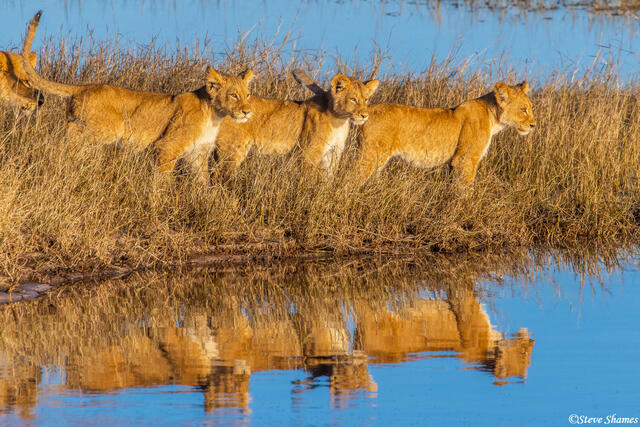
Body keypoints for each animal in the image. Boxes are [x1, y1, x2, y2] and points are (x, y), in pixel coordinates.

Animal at [21, 11, 253, 178]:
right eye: (234, 95)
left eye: (248, 95)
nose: (247, 112)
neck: (215, 115)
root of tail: (83, 87)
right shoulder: (166, 147)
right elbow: (162, 179)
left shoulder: (198, 155)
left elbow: (203, 183)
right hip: (110, 128)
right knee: (73, 137)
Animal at [214, 69, 378, 178]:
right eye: (353, 99)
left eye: (366, 99)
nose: (365, 115)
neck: (339, 120)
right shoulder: (308, 153)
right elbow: (307, 179)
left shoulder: (332, 154)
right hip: (233, 149)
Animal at [355, 81, 536, 185]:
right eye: (524, 110)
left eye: (531, 108)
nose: (533, 125)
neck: (494, 119)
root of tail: (367, 111)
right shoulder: (465, 159)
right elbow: (466, 188)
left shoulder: (454, 162)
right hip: (371, 155)